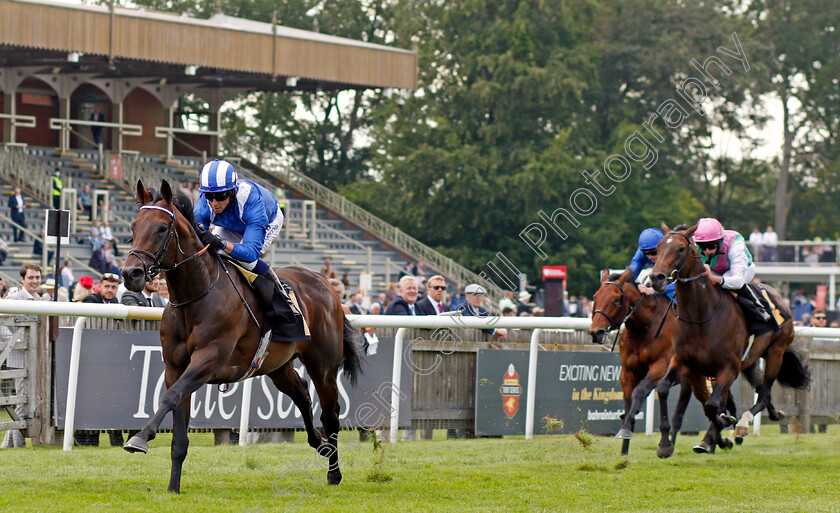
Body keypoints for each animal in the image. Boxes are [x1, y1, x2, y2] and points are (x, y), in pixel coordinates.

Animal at [119, 180, 360, 492]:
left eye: (162, 228)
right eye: (134, 226)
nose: (130, 273)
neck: (196, 295)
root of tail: (327, 284)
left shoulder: (208, 359)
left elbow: (169, 396)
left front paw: (139, 437)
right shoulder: (175, 367)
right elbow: (178, 429)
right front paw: (173, 487)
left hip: (324, 365)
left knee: (330, 413)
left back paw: (334, 473)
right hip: (277, 366)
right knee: (302, 394)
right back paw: (319, 443)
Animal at [648, 223, 812, 452]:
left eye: (681, 249)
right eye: (658, 248)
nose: (656, 277)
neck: (701, 317)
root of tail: (779, 297)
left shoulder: (728, 368)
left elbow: (712, 405)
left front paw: (724, 423)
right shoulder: (685, 364)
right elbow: (663, 389)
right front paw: (665, 444)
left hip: (776, 352)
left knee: (764, 393)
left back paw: (742, 424)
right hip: (750, 361)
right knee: (761, 388)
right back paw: (771, 414)